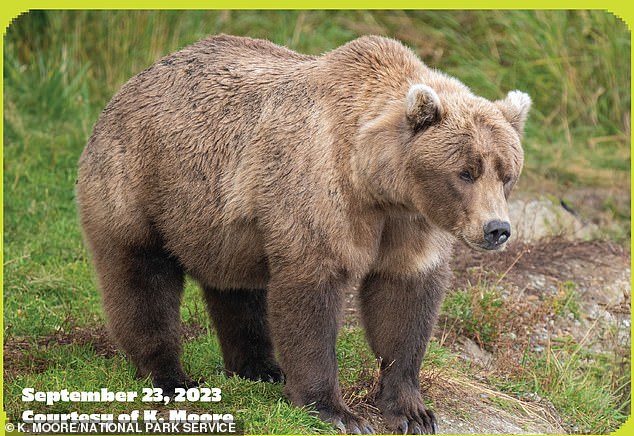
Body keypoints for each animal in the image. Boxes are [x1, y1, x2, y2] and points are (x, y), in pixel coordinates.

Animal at [78, 35, 528, 434]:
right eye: (466, 172)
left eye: (506, 173)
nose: (497, 229)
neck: (380, 185)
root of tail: (128, 85)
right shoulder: (321, 190)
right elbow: (311, 296)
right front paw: (337, 412)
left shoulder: (411, 225)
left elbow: (404, 301)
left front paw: (412, 411)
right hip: (140, 183)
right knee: (141, 277)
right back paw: (171, 377)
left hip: (221, 222)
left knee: (238, 288)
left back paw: (261, 368)